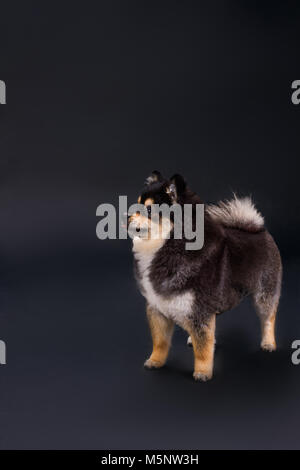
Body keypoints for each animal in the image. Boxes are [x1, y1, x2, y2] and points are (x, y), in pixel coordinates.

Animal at [130, 171, 282, 380]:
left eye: (149, 209)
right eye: (136, 205)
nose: (127, 217)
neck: (168, 246)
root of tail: (260, 229)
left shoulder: (200, 310)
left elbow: (203, 347)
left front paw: (202, 372)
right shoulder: (157, 308)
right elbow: (160, 342)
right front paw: (155, 361)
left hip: (264, 292)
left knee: (268, 318)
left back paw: (268, 343)